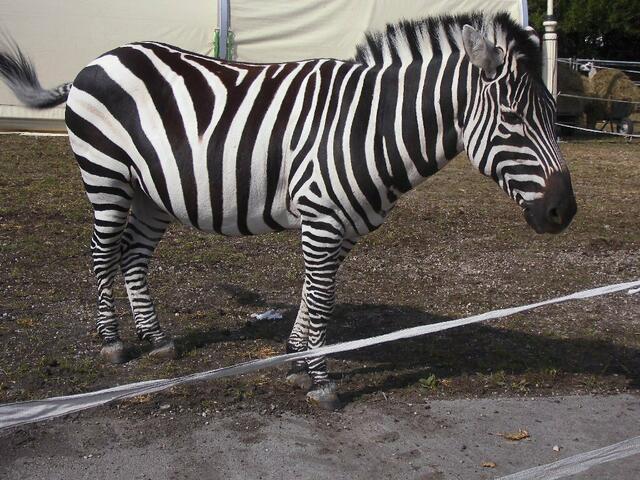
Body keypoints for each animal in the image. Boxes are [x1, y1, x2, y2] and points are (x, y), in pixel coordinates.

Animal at [0, 12, 576, 409]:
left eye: (553, 114)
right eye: (511, 117)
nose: (564, 212)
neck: (369, 126)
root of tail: (98, 60)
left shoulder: (342, 224)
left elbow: (313, 294)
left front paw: (296, 360)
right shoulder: (323, 216)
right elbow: (321, 298)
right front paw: (320, 381)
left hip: (151, 191)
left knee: (133, 257)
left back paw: (158, 340)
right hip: (106, 176)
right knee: (101, 255)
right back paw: (113, 343)